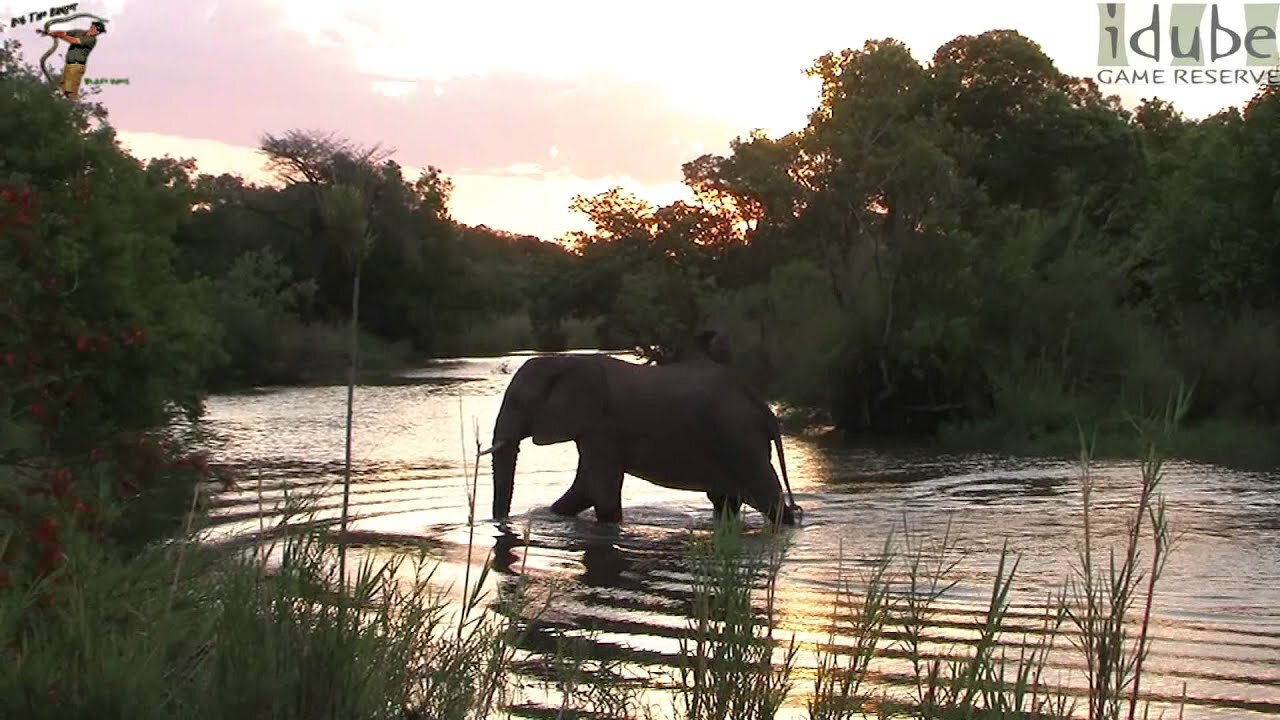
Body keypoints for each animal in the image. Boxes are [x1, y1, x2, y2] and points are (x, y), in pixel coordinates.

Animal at [481, 333, 798, 525]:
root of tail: (760, 403)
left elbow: (601, 492)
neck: (567, 362)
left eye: (519, 402)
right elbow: (585, 488)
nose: (500, 522)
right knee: (726, 502)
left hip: (740, 438)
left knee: (770, 499)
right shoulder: (593, 428)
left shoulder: (603, 426)